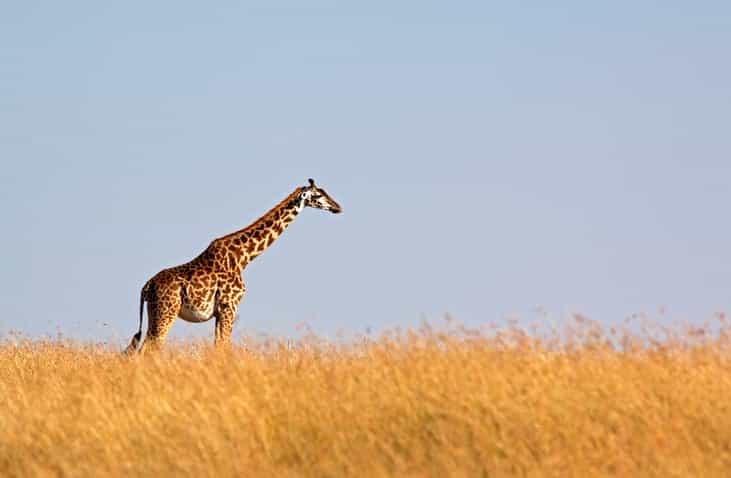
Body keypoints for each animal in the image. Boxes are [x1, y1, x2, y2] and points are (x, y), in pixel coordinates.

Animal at [124, 178, 342, 354]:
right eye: (319, 195)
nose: (338, 207)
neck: (243, 257)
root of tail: (147, 286)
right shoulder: (230, 306)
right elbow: (223, 345)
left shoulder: (220, 311)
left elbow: (218, 345)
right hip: (166, 312)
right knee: (149, 348)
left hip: (154, 313)